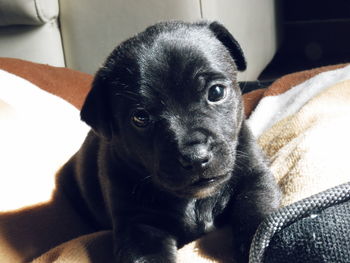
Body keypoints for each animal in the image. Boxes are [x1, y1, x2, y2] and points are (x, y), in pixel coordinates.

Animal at [58, 21, 280, 263]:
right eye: (140, 117)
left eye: (216, 92)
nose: (196, 157)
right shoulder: (138, 225)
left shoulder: (255, 178)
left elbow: (258, 217)